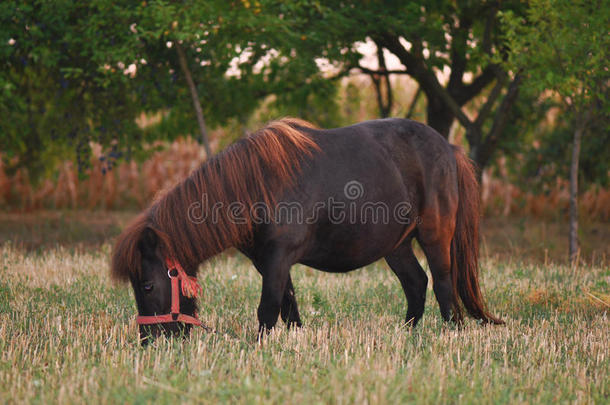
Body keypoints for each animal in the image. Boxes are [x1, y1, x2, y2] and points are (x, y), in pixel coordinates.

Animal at [111, 116, 502, 340]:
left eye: (147, 284)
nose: (151, 341)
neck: (258, 186)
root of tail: (449, 148)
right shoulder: (269, 261)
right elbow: (289, 305)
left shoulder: (277, 258)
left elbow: (268, 308)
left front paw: (257, 348)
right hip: (396, 245)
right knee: (416, 283)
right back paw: (406, 335)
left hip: (435, 235)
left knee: (444, 285)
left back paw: (451, 335)